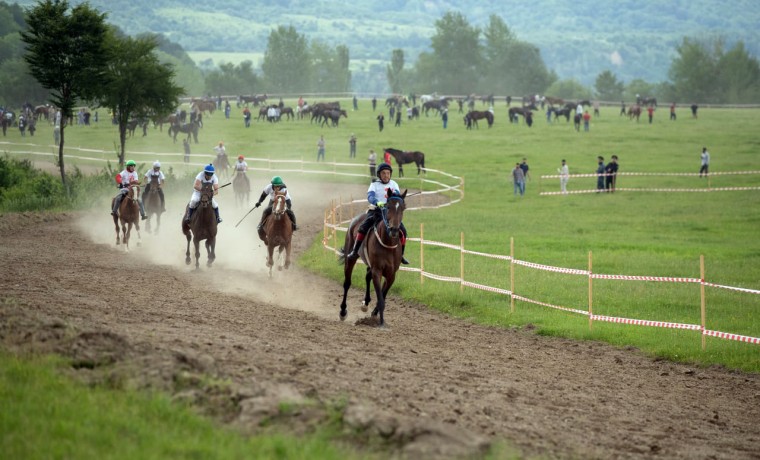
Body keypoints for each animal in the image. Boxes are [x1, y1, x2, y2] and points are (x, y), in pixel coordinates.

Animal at [338, 190, 406, 328]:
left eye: (402, 208)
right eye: (388, 207)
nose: (394, 230)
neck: (388, 244)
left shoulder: (391, 274)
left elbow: (383, 295)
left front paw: (375, 313)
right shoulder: (377, 271)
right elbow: (380, 298)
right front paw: (381, 323)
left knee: (367, 276)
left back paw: (366, 303)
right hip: (350, 258)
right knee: (347, 283)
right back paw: (343, 311)